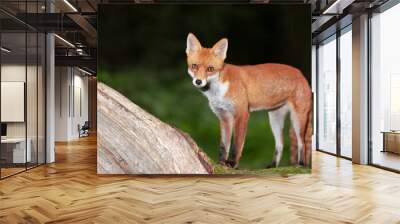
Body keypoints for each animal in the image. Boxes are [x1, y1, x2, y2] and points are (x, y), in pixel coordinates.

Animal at [184, 33, 312, 168]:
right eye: (194, 66)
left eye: (210, 69)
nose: (198, 81)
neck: (218, 91)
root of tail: (300, 73)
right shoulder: (224, 117)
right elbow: (224, 146)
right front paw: (221, 163)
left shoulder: (242, 114)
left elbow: (237, 144)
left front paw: (232, 163)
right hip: (274, 119)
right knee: (280, 144)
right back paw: (273, 165)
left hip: (297, 120)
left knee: (302, 143)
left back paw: (302, 164)